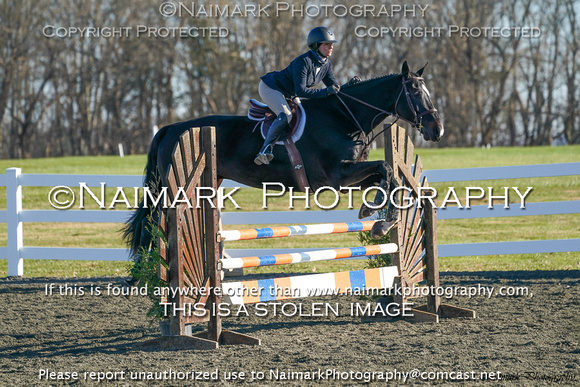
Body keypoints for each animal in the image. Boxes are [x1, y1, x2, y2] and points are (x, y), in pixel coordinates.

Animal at [123, 62, 444, 260]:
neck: (344, 118)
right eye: (415, 92)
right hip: (175, 187)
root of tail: (171, 128)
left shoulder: (347, 179)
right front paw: (378, 217)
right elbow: (385, 167)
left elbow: (387, 176)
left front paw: (379, 219)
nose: (437, 130)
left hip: (208, 183)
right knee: (159, 221)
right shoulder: (337, 177)